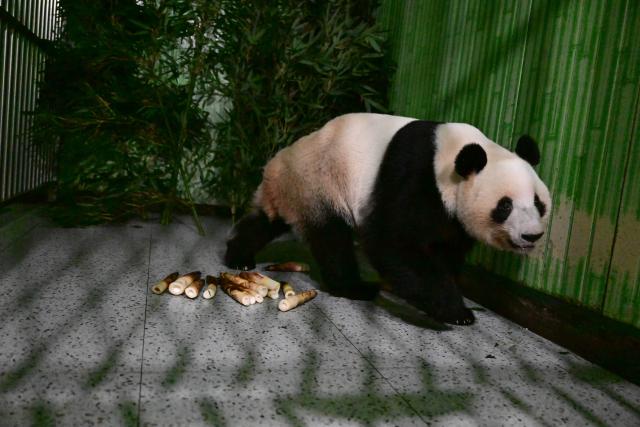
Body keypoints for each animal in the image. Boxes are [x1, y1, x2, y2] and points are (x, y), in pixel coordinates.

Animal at [225, 113, 551, 325]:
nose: (532, 236)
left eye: (539, 203)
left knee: (265, 222)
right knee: (332, 239)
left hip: (294, 191)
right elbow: (392, 241)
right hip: (319, 183)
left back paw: (238, 256)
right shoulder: (415, 176)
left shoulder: (452, 218)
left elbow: (446, 250)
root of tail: (277, 162)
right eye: (505, 206)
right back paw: (355, 287)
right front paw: (455, 311)